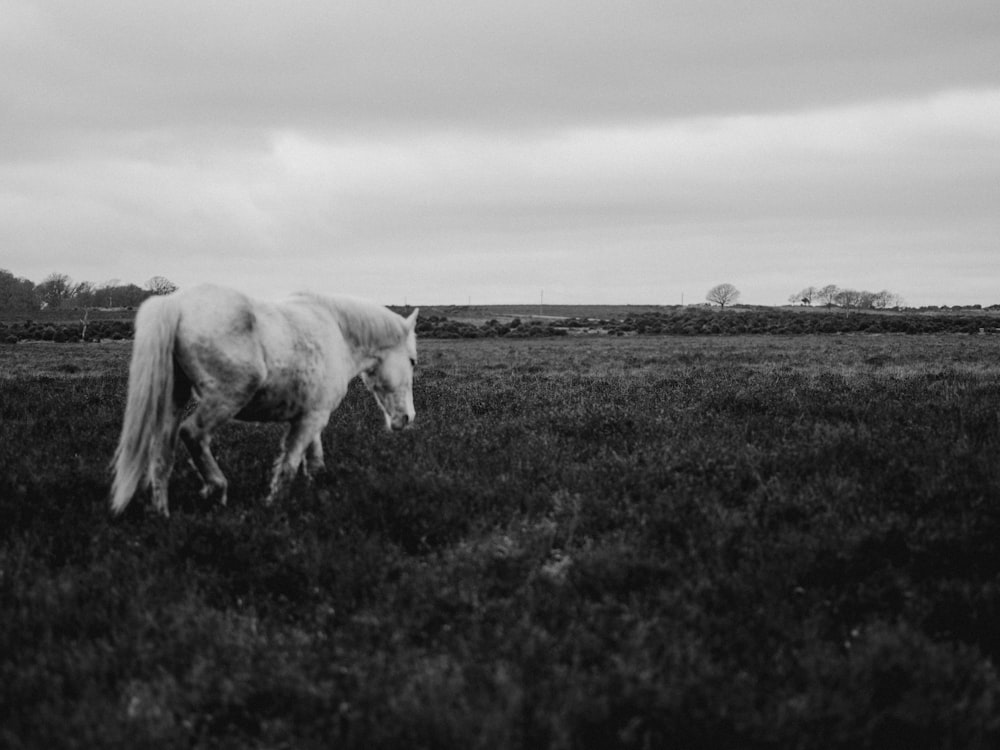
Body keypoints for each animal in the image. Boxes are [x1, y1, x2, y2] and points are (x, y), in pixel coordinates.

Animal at [110, 284, 418, 516]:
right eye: (413, 361)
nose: (407, 418)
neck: (337, 331)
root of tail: (175, 305)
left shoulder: (310, 417)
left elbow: (314, 463)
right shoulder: (311, 418)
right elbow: (289, 466)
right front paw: (273, 507)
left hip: (175, 398)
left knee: (163, 453)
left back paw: (163, 514)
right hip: (227, 396)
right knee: (193, 433)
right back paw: (216, 488)